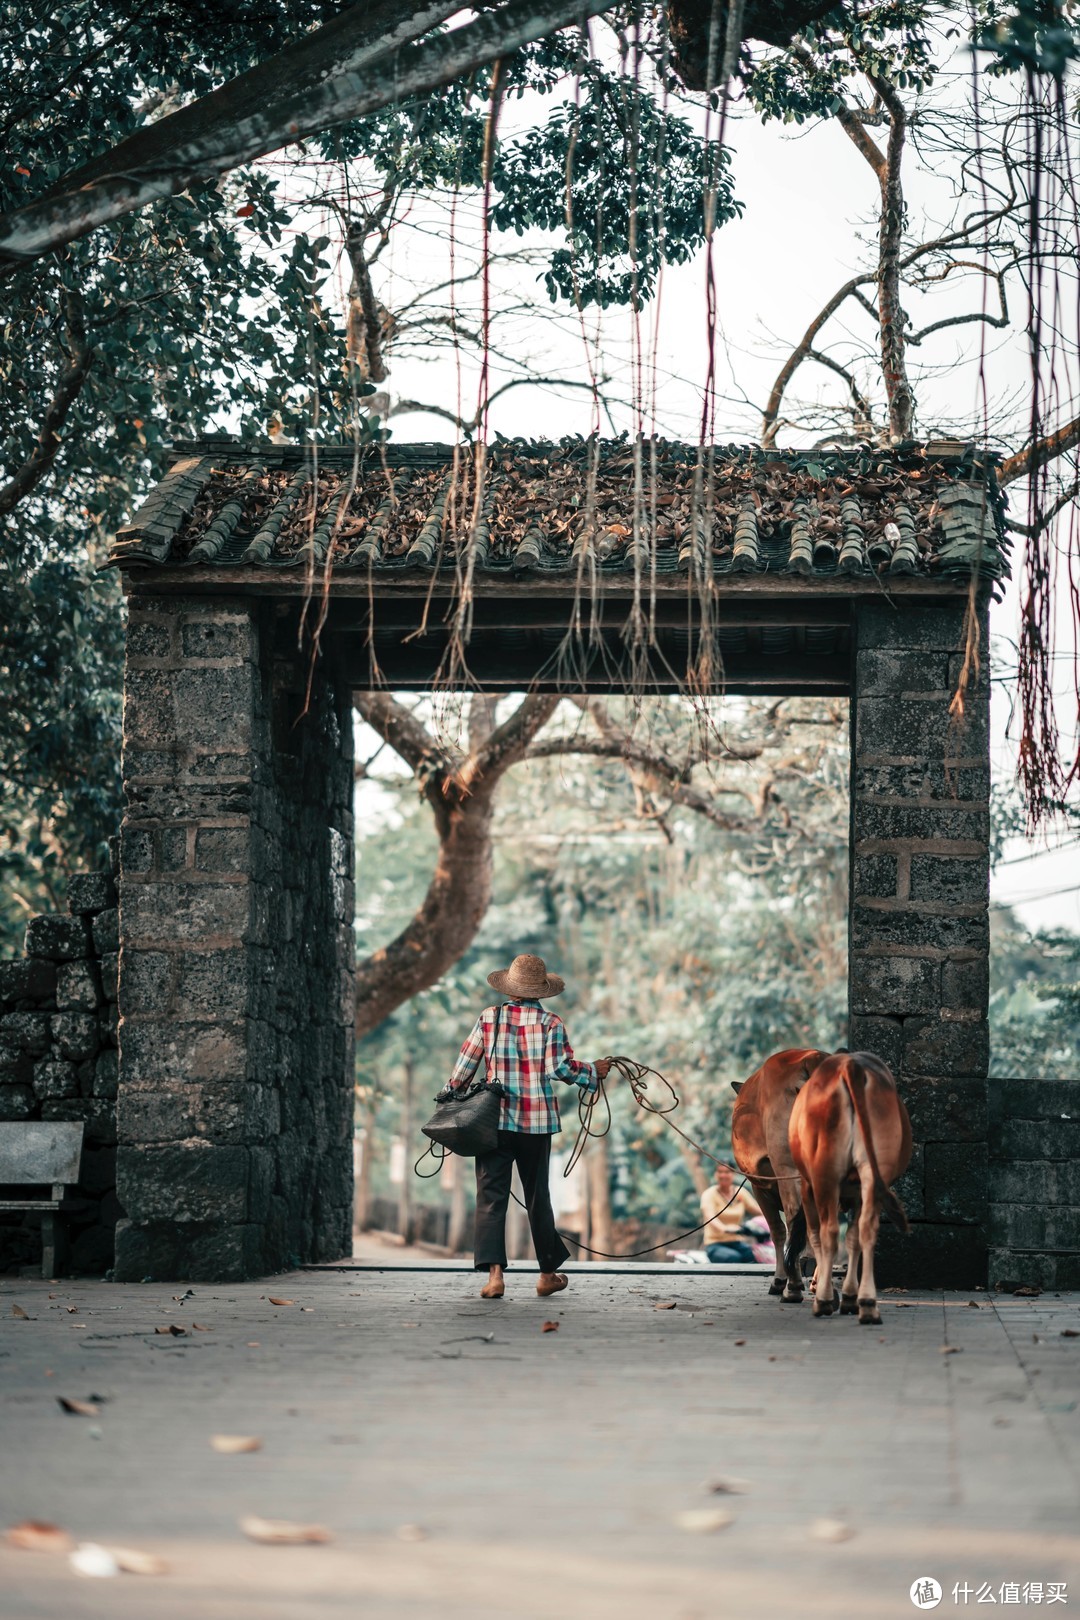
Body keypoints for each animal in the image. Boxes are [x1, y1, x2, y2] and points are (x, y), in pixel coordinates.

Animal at [731, 1049, 835, 1302]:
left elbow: (777, 1231)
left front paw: (779, 1281)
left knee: (792, 1217)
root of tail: (812, 1058)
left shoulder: (759, 1186)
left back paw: (793, 1286)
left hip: (787, 1168)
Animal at [786, 1056, 913, 1321]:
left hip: (825, 1176)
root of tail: (851, 1065)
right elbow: (854, 1237)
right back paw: (867, 1303)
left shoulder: (808, 1186)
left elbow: (816, 1235)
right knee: (867, 1229)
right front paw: (849, 1297)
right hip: (873, 1174)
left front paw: (829, 1293)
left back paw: (824, 1301)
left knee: (829, 1232)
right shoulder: (855, 1192)